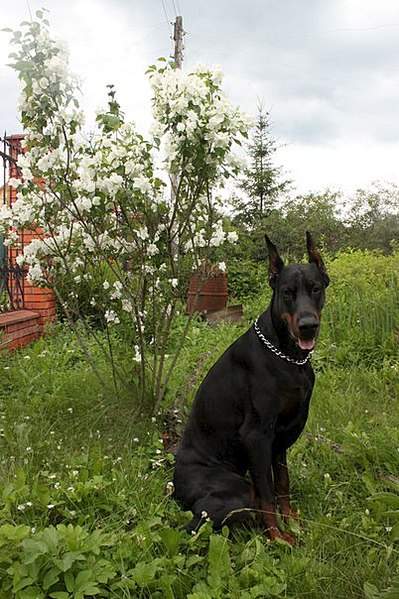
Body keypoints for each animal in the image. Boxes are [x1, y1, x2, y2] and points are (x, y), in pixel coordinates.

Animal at [173, 233, 330, 544]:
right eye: (287, 293)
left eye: (316, 289)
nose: (308, 326)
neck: (288, 356)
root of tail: (174, 488)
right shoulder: (257, 436)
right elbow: (268, 494)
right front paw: (278, 536)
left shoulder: (279, 438)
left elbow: (282, 484)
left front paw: (291, 522)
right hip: (236, 488)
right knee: (214, 516)